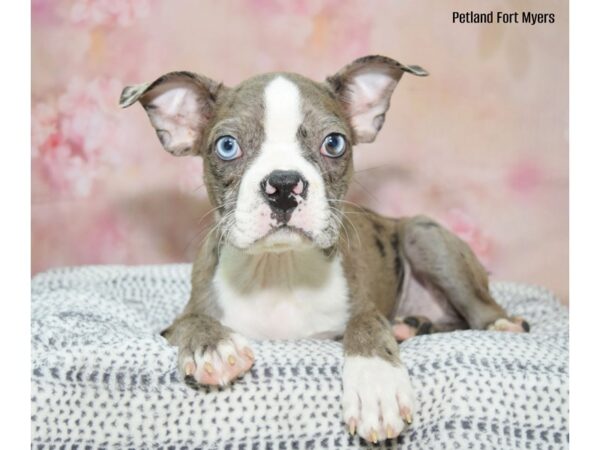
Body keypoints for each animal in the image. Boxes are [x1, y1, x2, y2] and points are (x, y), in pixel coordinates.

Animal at [119, 56, 528, 442]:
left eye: (334, 143)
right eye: (227, 146)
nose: (284, 185)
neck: (279, 269)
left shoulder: (360, 306)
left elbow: (365, 324)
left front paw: (376, 384)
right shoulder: (175, 324)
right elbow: (191, 322)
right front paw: (214, 347)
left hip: (423, 235)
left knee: (478, 309)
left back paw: (494, 323)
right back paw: (409, 326)